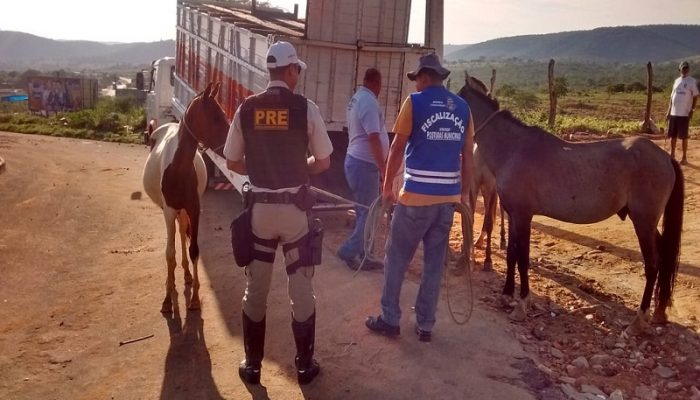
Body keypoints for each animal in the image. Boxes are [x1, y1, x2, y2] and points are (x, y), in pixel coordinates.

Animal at [142, 82, 230, 312]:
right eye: (215, 117)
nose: (230, 147)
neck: (178, 169)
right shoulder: (169, 210)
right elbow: (169, 253)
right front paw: (167, 298)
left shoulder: (194, 209)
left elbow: (194, 250)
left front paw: (195, 298)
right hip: (170, 211)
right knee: (176, 239)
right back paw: (171, 282)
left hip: (183, 211)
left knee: (182, 232)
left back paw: (188, 275)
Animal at [460, 82, 684, 332]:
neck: (513, 149)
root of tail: (666, 158)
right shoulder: (513, 215)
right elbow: (512, 254)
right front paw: (506, 295)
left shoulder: (524, 216)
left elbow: (523, 258)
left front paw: (522, 303)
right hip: (647, 222)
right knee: (663, 257)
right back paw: (659, 311)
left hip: (643, 222)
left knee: (653, 264)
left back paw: (637, 321)